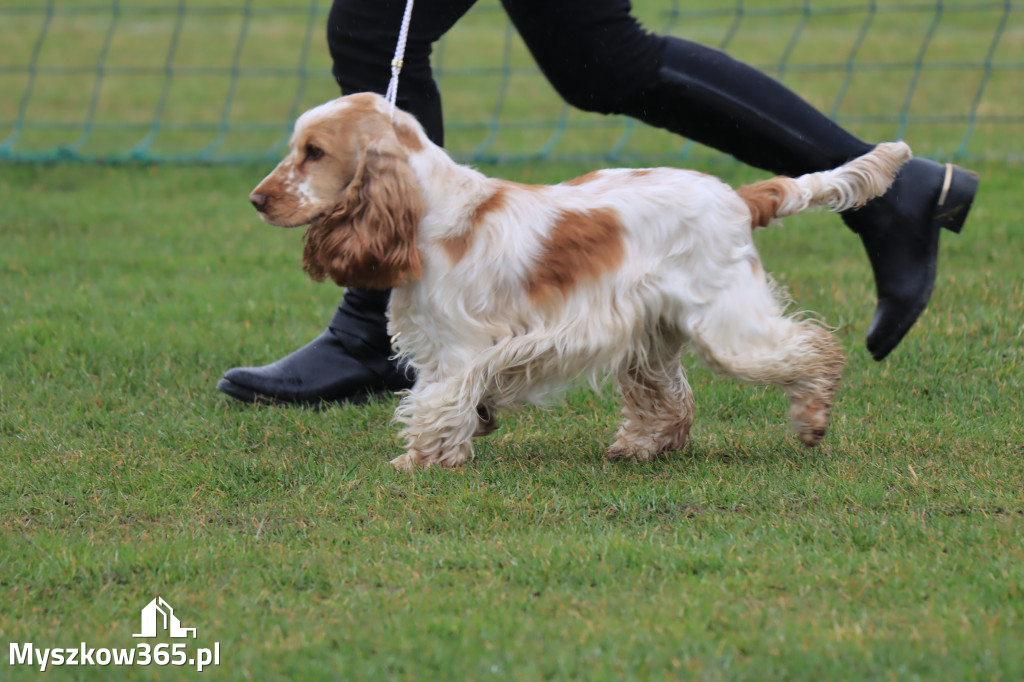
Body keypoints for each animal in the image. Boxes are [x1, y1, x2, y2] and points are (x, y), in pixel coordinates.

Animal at [247, 91, 913, 466]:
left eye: (313, 152)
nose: (256, 200)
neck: (430, 211)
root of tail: (737, 195)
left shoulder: (459, 350)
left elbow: (437, 403)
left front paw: (422, 460)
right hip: (653, 334)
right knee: (668, 398)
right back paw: (641, 447)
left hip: (728, 326)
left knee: (815, 348)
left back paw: (812, 418)